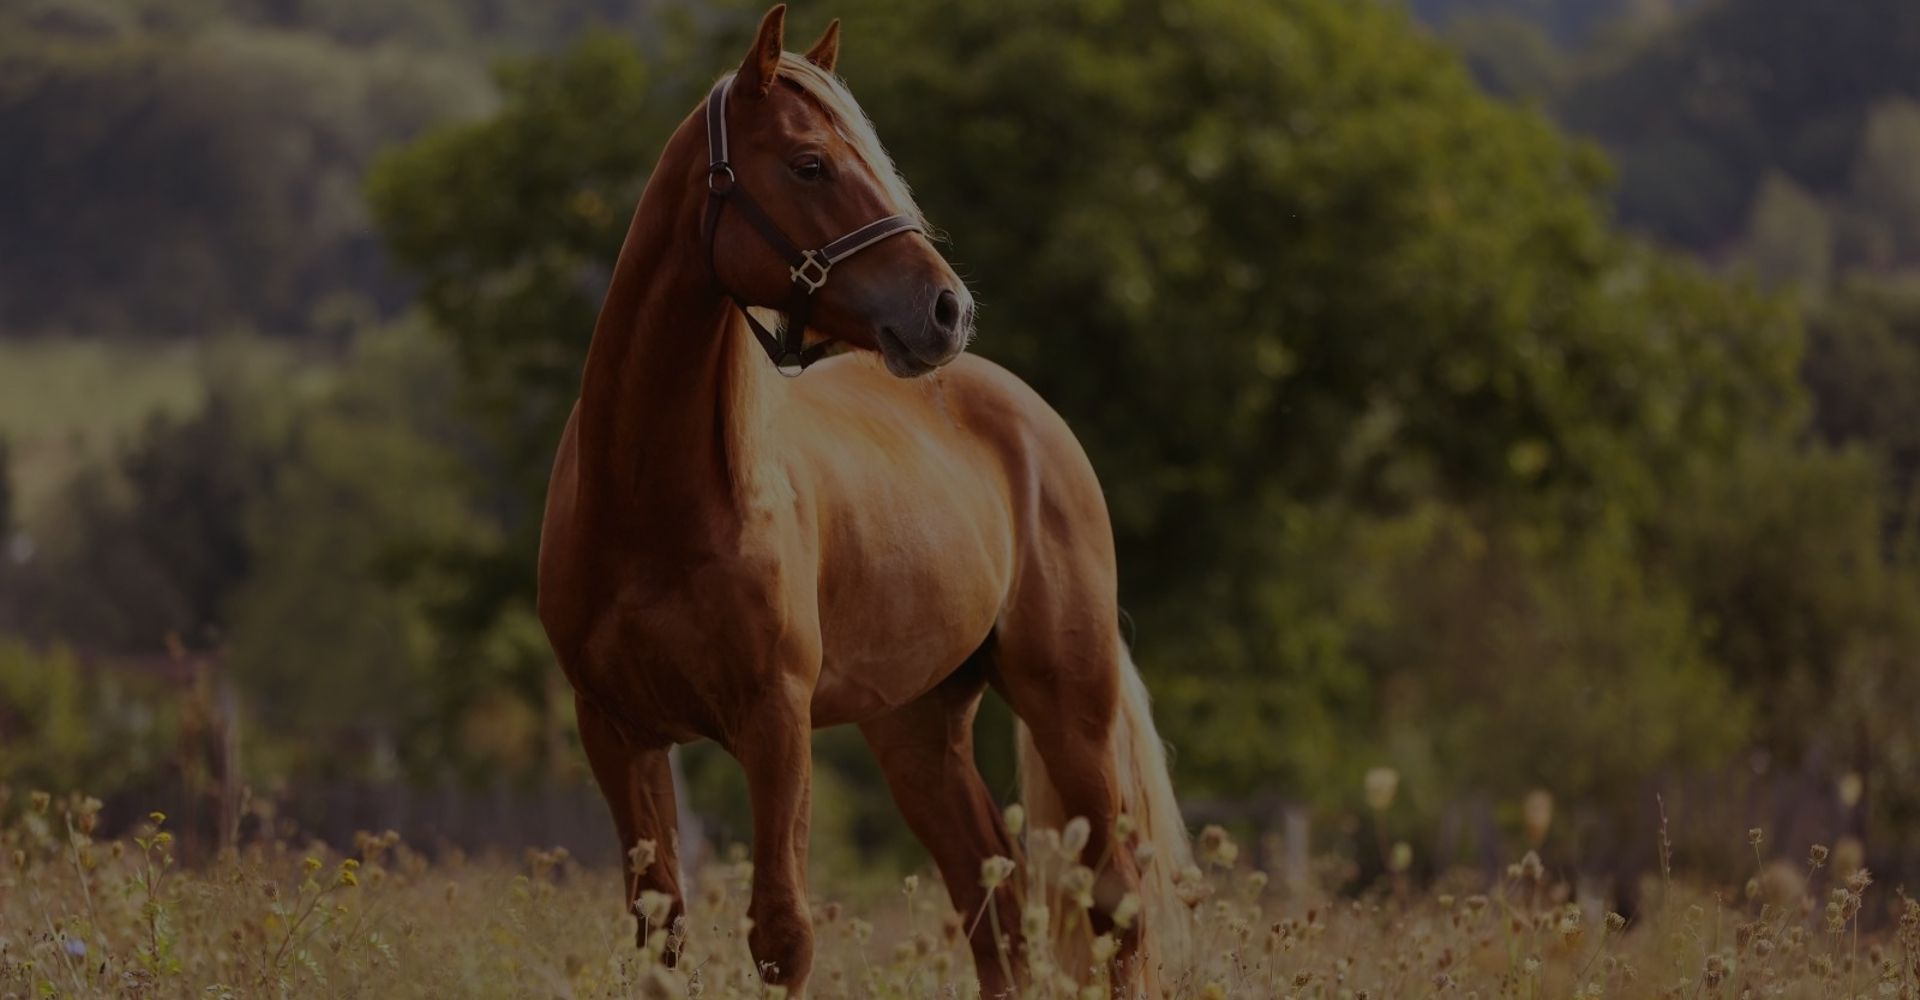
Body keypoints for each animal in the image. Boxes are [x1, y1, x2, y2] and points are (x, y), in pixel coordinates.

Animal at [535, 7, 1192, 995]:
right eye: (810, 163)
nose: (948, 311)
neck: (653, 504)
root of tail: (1035, 421)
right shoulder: (618, 732)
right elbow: (660, 935)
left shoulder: (775, 723)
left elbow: (782, 932)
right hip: (916, 728)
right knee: (994, 905)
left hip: (1068, 704)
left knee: (1114, 904)